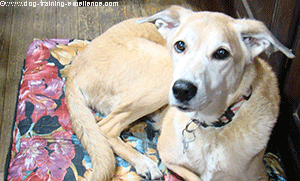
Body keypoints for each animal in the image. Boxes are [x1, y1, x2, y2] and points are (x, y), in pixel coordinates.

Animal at [63, 5, 296, 181]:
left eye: (222, 53)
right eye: (180, 46)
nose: (182, 90)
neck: (211, 127)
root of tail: (74, 65)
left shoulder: (259, 176)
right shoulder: (168, 156)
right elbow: (196, 177)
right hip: (163, 72)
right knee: (106, 127)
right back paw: (145, 162)